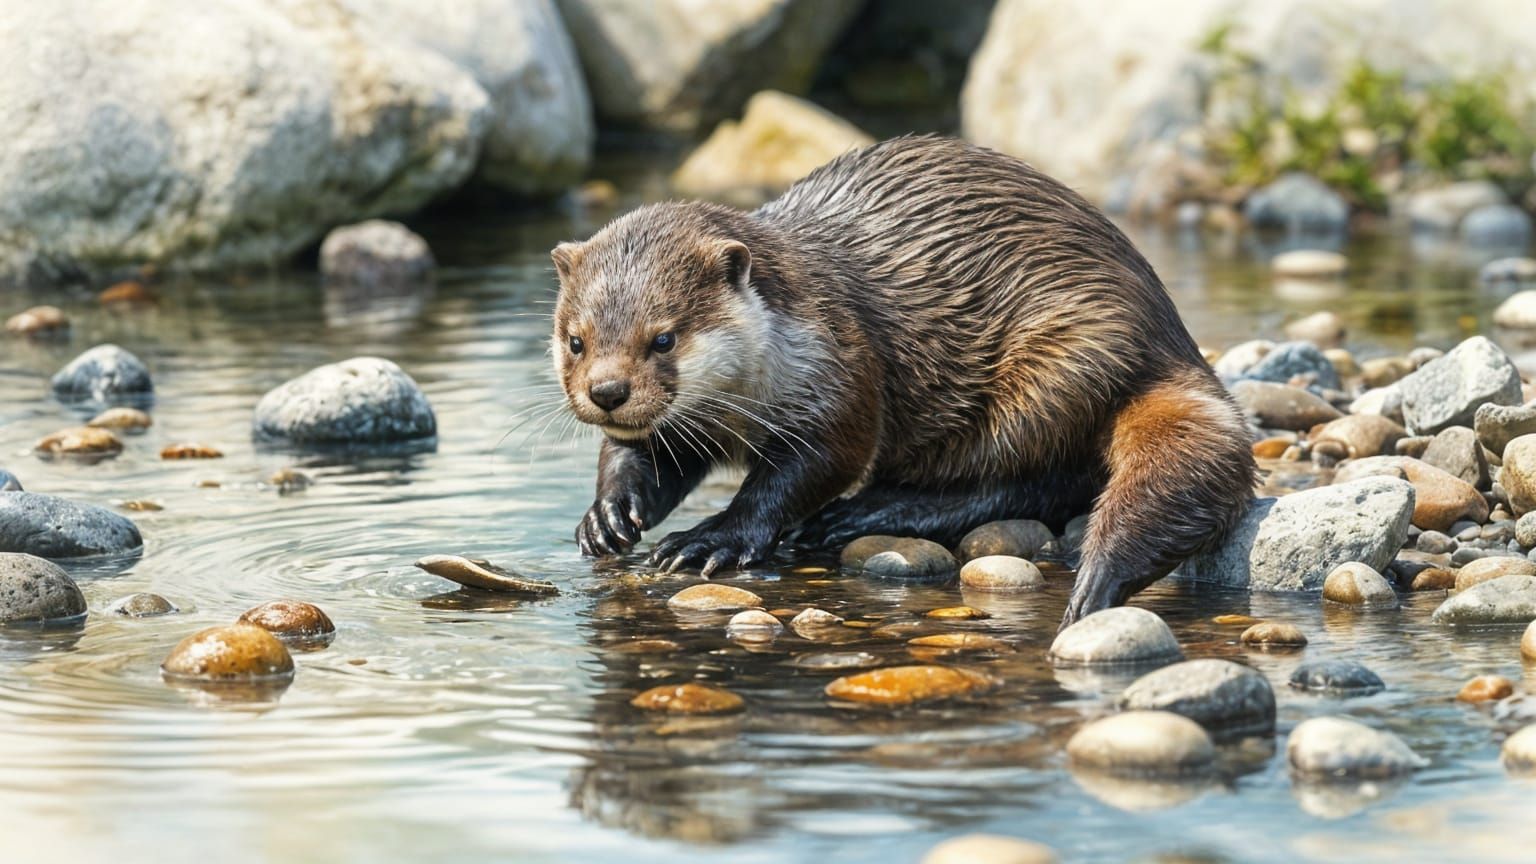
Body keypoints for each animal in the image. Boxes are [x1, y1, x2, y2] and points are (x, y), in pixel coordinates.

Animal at [550, 135, 1255, 625]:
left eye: (663, 338)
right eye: (576, 340)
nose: (607, 392)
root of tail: (1166, 332)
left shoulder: (841, 376)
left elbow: (813, 467)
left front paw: (710, 539)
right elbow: (643, 456)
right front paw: (607, 515)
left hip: (1060, 366)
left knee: (1039, 481)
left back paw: (871, 511)